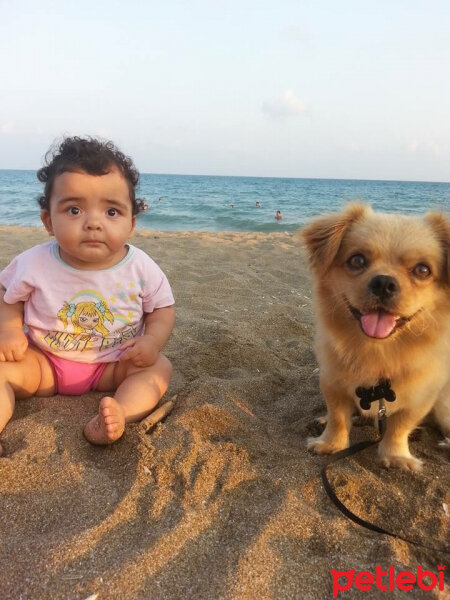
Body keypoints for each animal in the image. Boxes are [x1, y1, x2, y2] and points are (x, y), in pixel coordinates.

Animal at [302, 204, 450, 472]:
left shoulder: (420, 397)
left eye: (422, 270)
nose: (384, 282)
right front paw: (331, 444)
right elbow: (338, 417)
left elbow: (399, 427)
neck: (377, 351)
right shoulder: (332, 382)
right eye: (357, 260)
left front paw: (396, 456)